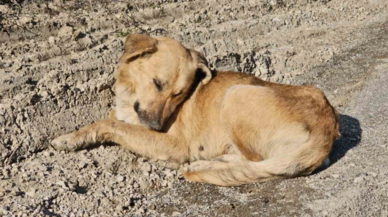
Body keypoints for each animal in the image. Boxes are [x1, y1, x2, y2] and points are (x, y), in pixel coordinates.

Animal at [51, 34, 340, 186]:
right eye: (158, 83)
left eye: (179, 93)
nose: (156, 127)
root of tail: (327, 126)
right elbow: (109, 121)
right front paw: (74, 136)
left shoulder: (173, 144)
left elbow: (108, 124)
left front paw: (68, 139)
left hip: (236, 95)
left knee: (254, 161)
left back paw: (204, 164)